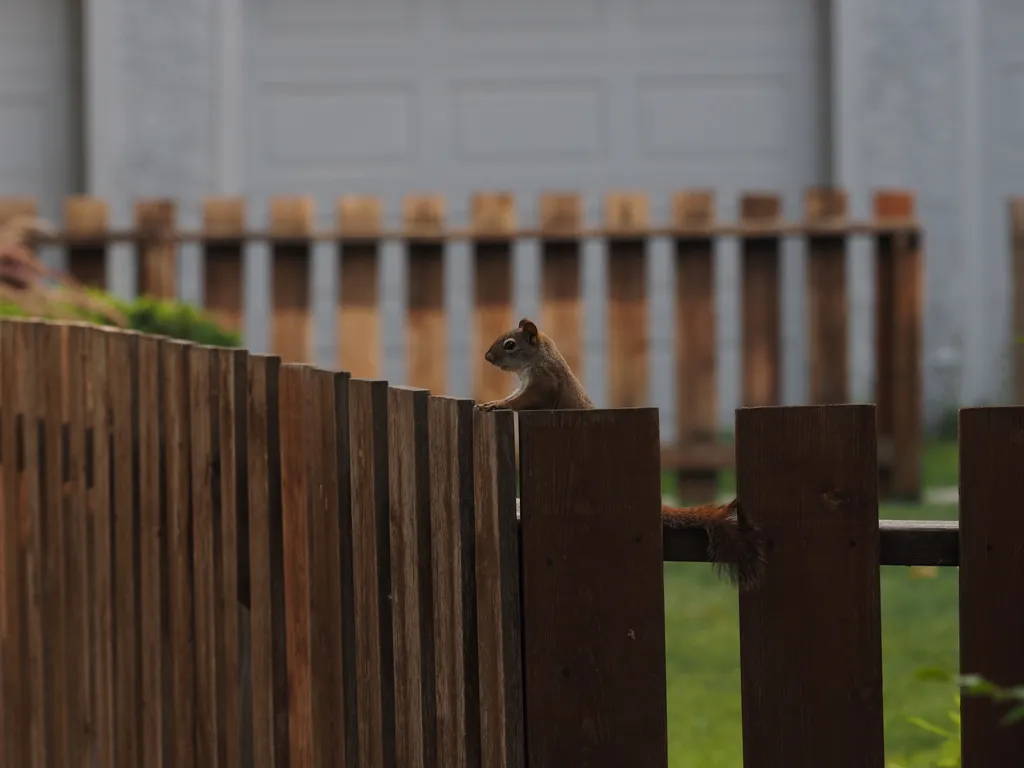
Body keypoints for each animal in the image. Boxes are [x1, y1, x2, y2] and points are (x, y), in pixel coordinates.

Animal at [476, 317, 766, 591]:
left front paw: (494, 404)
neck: (537, 359)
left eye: (510, 344)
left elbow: (521, 401)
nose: (487, 357)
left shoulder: (543, 385)